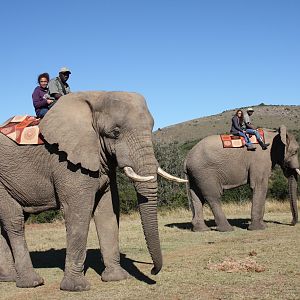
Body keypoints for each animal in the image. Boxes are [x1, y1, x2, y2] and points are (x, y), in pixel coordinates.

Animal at [0, 91, 186, 290]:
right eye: (115, 132)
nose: (152, 270)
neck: (97, 96)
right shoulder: (67, 162)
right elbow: (78, 211)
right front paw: (76, 288)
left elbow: (108, 210)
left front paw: (117, 278)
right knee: (14, 221)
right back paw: (32, 282)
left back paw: (9, 278)